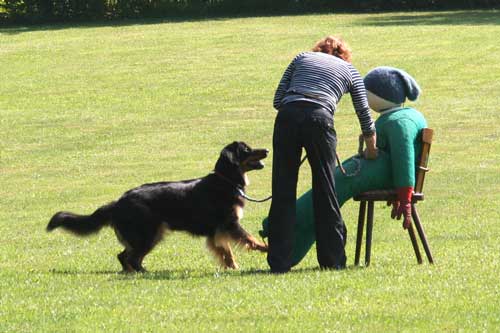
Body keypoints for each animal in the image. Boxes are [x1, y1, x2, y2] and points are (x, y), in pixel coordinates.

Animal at [47, 141, 270, 272]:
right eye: (247, 150)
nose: (267, 150)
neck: (226, 180)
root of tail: (118, 202)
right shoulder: (230, 224)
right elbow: (250, 239)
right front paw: (266, 248)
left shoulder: (216, 231)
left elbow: (226, 252)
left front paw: (232, 267)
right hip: (148, 234)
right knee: (129, 257)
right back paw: (141, 272)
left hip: (149, 234)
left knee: (125, 256)